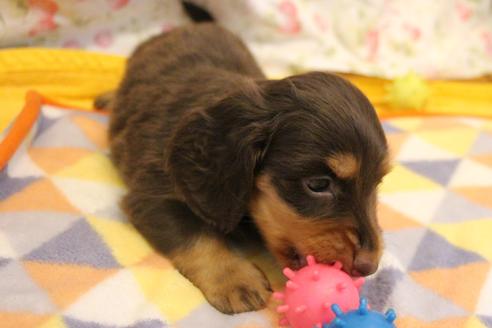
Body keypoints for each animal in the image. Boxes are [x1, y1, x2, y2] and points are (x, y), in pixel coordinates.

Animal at [102, 21, 390, 314]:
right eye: (318, 184)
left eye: (376, 183)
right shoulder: (154, 196)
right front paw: (235, 280)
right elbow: (197, 237)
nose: (369, 267)